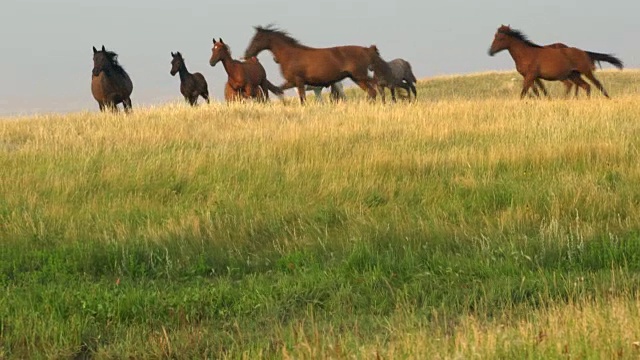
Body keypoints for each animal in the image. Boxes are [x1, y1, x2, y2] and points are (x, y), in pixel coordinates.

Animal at [242, 25, 388, 104]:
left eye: (257, 39)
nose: (246, 54)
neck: (290, 54)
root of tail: (367, 50)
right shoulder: (292, 82)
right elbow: (279, 89)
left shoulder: (299, 81)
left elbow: (302, 99)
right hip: (356, 78)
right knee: (372, 90)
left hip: (359, 76)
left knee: (374, 87)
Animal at [488, 25, 624, 98]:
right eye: (495, 36)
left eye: (500, 38)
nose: (490, 52)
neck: (526, 54)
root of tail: (584, 52)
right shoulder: (531, 76)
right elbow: (539, 91)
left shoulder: (531, 75)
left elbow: (524, 92)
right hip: (573, 75)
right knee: (585, 86)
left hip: (585, 71)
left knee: (597, 85)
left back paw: (607, 98)